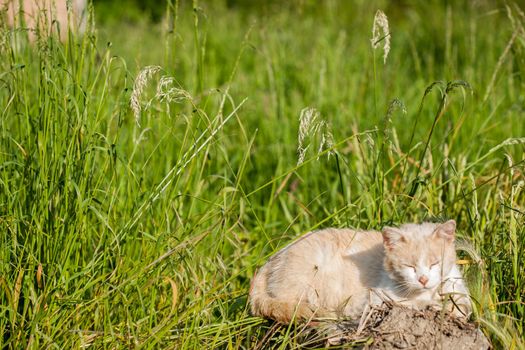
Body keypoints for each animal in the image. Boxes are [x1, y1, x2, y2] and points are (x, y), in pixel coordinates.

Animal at [249, 220, 470, 324]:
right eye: (409, 266)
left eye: (435, 263)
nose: (423, 279)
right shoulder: (376, 300)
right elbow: (411, 304)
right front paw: (430, 305)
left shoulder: (459, 290)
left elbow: (461, 307)